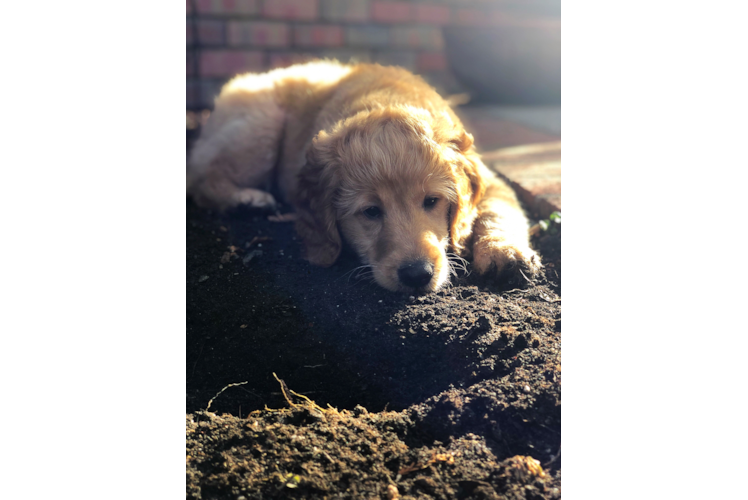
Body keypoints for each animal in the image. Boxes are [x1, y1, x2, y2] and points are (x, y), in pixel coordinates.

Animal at [186, 60, 536, 292]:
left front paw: (505, 252)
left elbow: (497, 210)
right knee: (202, 178)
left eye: (432, 201)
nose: (417, 275)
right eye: (370, 212)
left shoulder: (493, 180)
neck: (386, 100)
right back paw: (246, 199)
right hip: (259, 127)